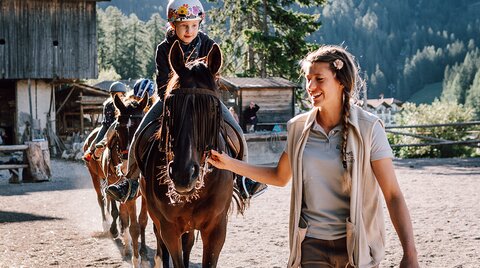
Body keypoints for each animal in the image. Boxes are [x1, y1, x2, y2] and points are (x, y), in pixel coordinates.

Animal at [83, 94, 148, 266]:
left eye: (141, 126)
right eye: (118, 128)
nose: (127, 163)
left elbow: (142, 221)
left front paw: (144, 254)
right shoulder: (123, 191)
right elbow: (130, 224)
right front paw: (135, 256)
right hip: (95, 176)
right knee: (102, 200)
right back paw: (108, 227)